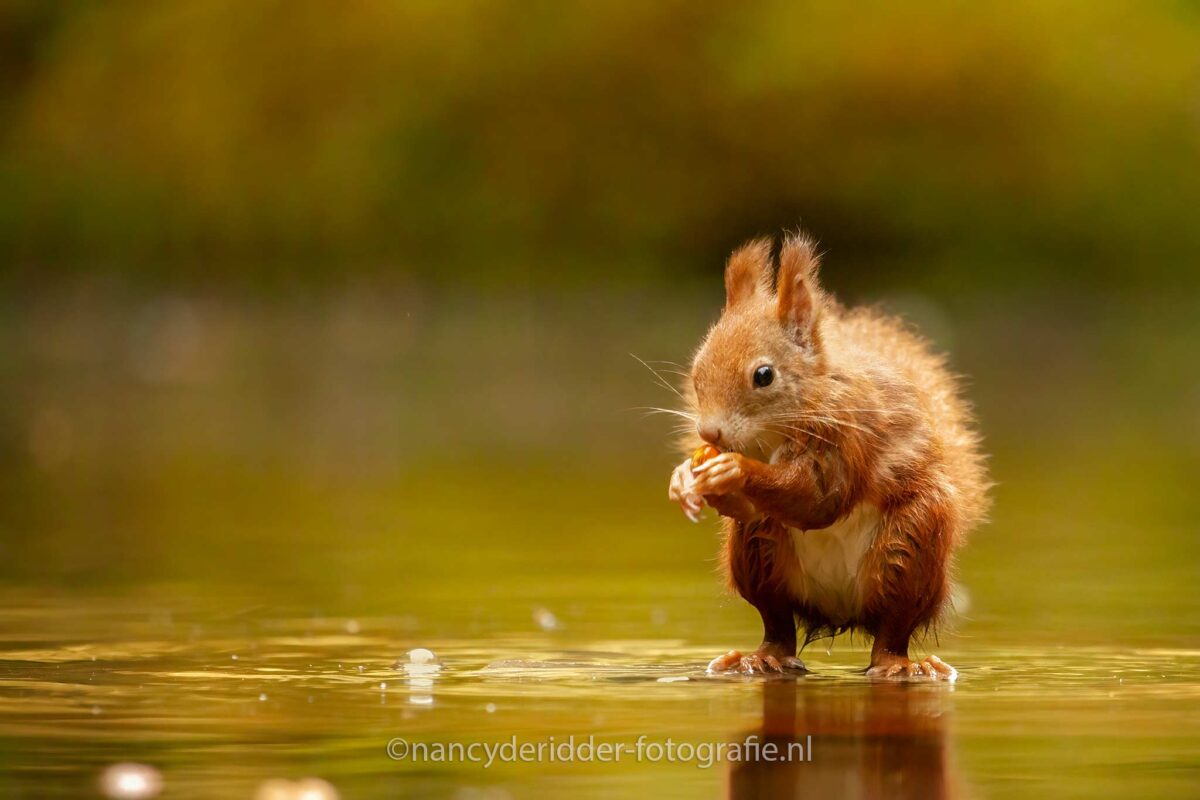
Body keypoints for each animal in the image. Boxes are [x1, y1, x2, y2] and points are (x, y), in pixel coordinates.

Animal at [667, 231, 989, 680]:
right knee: (777, 623)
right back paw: (758, 658)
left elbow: (818, 501)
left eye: (764, 375)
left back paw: (900, 665)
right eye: (697, 370)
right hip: (759, 553)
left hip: (912, 547)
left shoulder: (846, 437)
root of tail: (840, 613)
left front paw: (734, 470)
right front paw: (683, 479)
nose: (709, 433)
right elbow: (751, 507)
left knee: (894, 629)